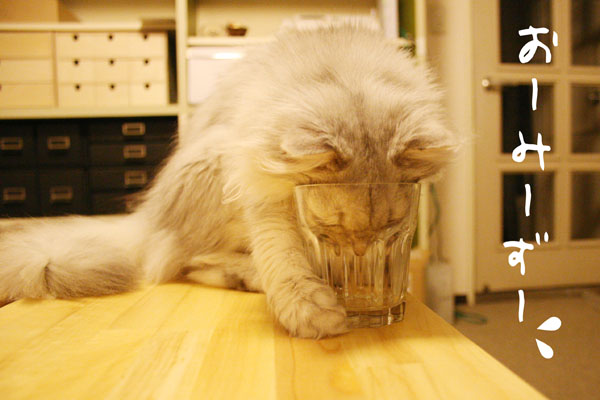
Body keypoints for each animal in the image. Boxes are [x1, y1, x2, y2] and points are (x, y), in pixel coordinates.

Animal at [0, 25, 457, 338]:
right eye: (331, 226)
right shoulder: (261, 193)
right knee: (186, 263)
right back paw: (251, 277)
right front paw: (312, 307)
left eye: (391, 227)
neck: (341, 71)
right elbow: (283, 256)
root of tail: (144, 221)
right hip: (215, 161)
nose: (359, 256)